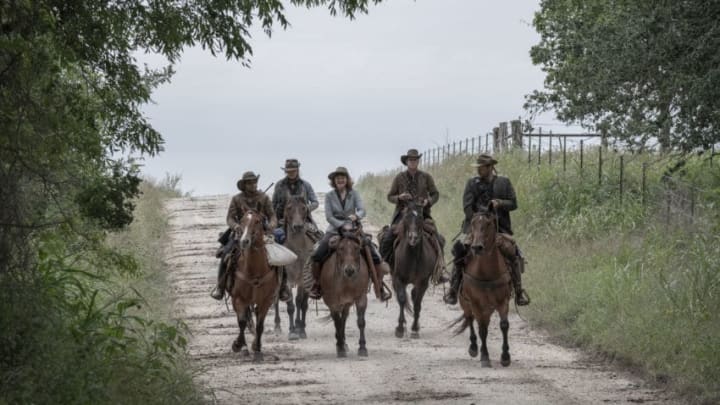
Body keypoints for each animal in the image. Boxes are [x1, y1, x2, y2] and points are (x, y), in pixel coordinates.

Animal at [229, 208, 278, 360]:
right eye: (242, 221)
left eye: (257, 221)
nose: (244, 241)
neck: (255, 270)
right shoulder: (238, 299)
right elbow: (242, 322)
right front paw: (239, 345)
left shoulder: (266, 301)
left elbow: (260, 326)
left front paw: (257, 349)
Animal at [272, 194, 312, 340]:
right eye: (288, 208)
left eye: (304, 208)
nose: (298, 226)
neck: (297, 252)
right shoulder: (288, 279)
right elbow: (290, 305)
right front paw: (292, 331)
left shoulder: (302, 280)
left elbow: (300, 302)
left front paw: (301, 329)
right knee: (276, 300)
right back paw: (277, 326)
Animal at [320, 226, 372, 358]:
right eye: (340, 248)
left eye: (357, 248)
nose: (349, 270)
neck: (346, 281)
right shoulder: (333, 302)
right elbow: (337, 323)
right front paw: (340, 348)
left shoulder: (361, 298)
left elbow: (361, 322)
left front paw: (362, 347)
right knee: (338, 320)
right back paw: (340, 343)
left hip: (347, 303)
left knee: (343, 319)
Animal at [390, 200, 436, 340]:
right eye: (406, 217)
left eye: (421, 217)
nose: (413, 238)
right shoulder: (398, 279)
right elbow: (402, 299)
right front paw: (400, 328)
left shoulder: (423, 282)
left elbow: (417, 303)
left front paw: (415, 329)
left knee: (414, 296)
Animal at [452, 205, 516, 366]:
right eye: (473, 223)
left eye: (488, 224)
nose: (477, 247)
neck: (487, 272)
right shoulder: (475, 303)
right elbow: (482, 329)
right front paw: (485, 356)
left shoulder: (503, 301)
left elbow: (504, 325)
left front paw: (505, 356)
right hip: (466, 303)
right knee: (470, 319)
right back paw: (474, 348)